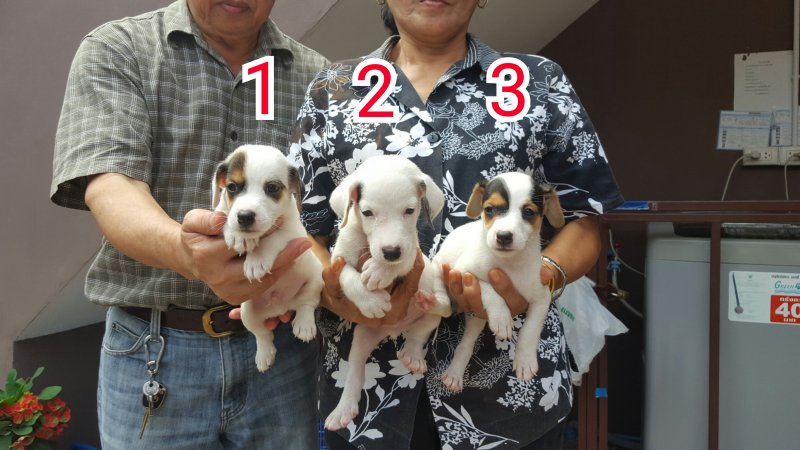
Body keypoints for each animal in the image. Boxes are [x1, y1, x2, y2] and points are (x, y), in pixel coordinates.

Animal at [212, 144, 323, 373]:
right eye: (232, 187)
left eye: (272, 188)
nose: (245, 216)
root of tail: (281, 307)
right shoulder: (219, 212)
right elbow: (225, 216)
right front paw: (236, 234)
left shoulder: (293, 232)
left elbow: (273, 238)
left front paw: (256, 260)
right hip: (247, 313)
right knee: (262, 334)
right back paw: (264, 354)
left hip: (314, 282)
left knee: (306, 304)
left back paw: (304, 325)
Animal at [324, 155, 450, 431]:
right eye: (367, 213)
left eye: (410, 211)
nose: (391, 251)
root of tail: (394, 329)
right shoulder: (338, 258)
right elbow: (346, 276)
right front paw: (371, 300)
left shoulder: (412, 251)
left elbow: (403, 261)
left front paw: (381, 270)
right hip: (362, 336)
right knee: (356, 369)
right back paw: (343, 408)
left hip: (431, 317)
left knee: (418, 334)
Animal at [432, 171, 564, 391]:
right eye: (489, 210)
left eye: (528, 212)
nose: (503, 236)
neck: (508, 264)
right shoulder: (463, 273)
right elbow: (488, 287)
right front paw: (502, 318)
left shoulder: (542, 297)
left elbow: (530, 329)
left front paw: (525, 359)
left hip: (477, 318)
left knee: (466, 344)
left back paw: (455, 374)